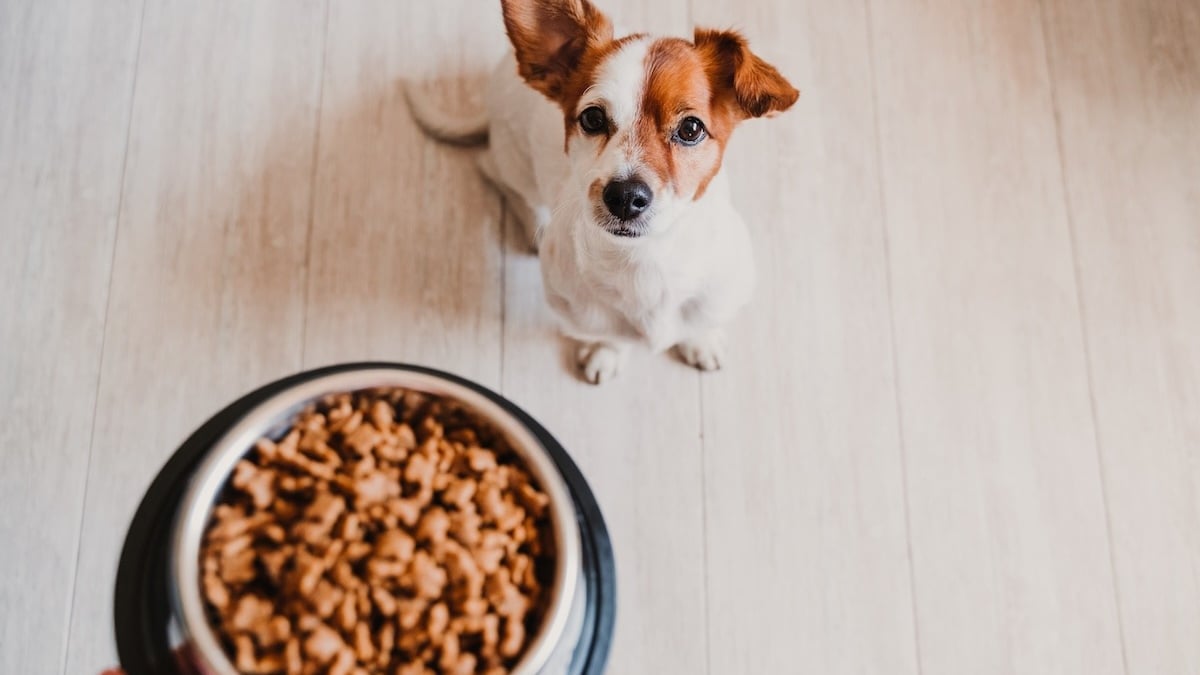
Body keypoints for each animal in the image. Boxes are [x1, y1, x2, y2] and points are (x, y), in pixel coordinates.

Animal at [408, 0, 801, 381]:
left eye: (691, 128)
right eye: (593, 118)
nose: (625, 196)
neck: (645, 259)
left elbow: (700, 322)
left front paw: (700, 340)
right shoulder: (581, 312)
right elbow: (608, 335)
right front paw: (606, 352)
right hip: (513, 163)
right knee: (494, 172)